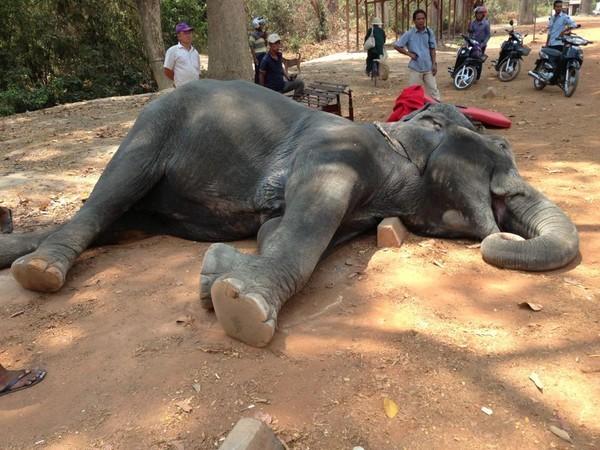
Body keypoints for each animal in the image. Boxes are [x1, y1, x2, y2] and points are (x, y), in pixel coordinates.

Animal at [1, 80, 580, 348]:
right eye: (500, 154)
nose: (502, 234)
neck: (400, 135)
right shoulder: (335, 153)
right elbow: (309, 218)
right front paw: (241, 309)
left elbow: (279, 227)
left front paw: (217, 275)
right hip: (153, 127)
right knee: (112, 194)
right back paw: (39, 273)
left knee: (120, 219)